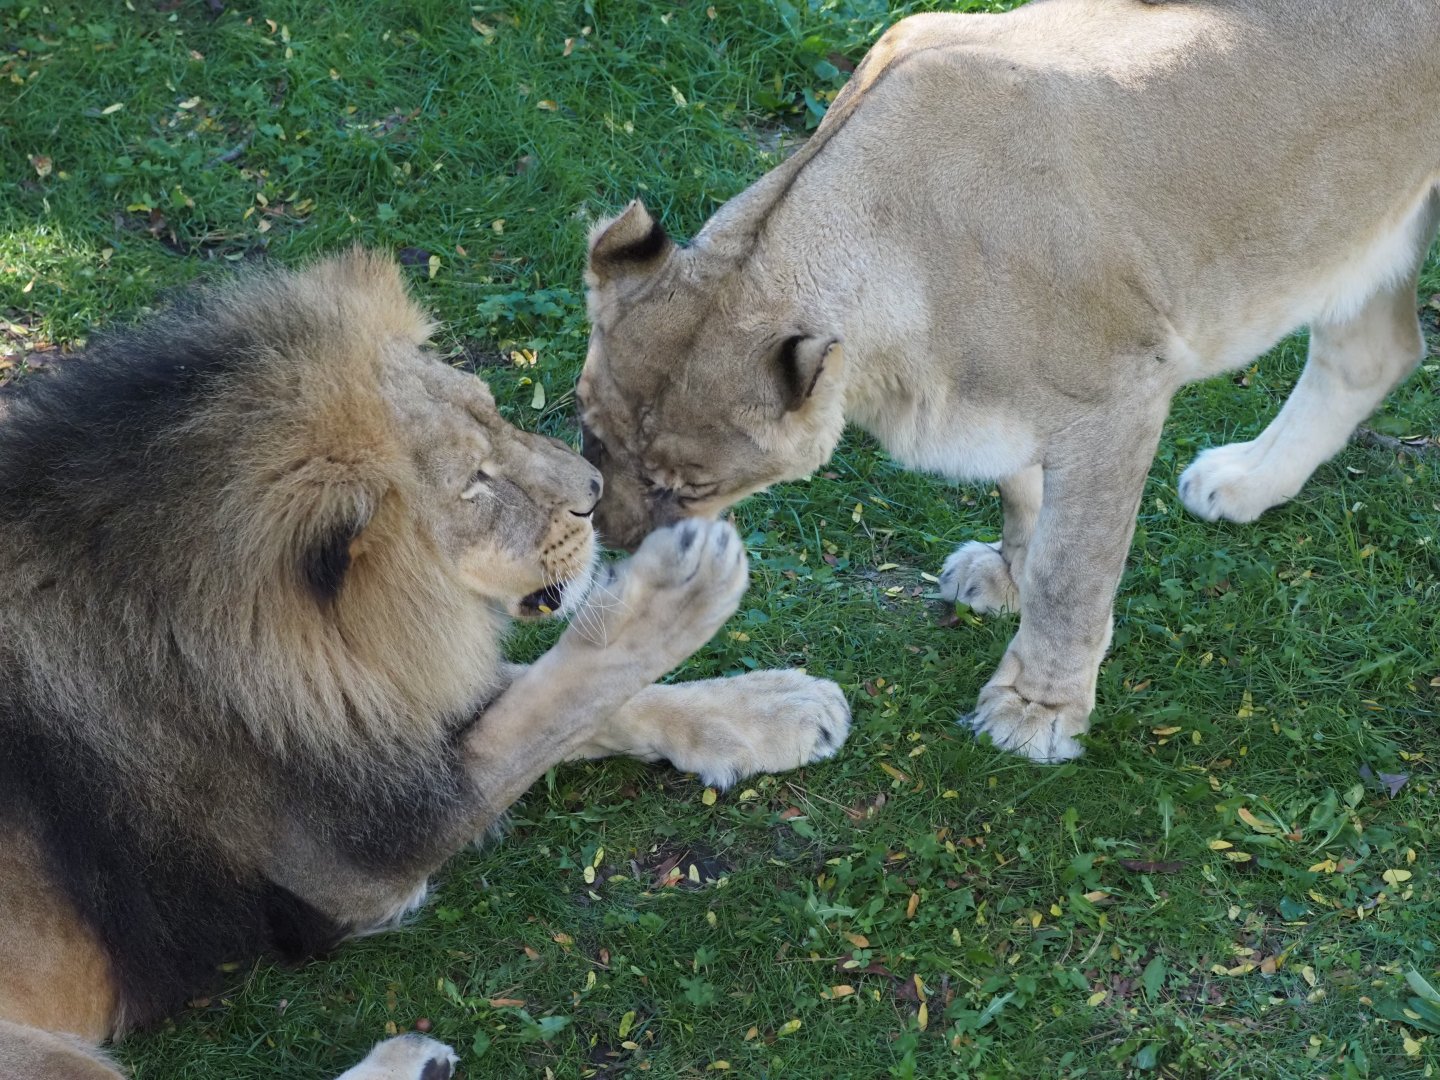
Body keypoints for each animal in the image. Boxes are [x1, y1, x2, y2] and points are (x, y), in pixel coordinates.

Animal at [0, 250, 850, 1079]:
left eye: (493, 411)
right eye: (474, 482)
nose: (594, 490)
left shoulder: (376, 711)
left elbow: (558, 703)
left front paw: (770, 709)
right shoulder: (358, 862)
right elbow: (552, 706)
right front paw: (680, 592)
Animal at [576, 0, 1440, 763]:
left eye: (690, 488)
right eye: (587, 436)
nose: (611, 544)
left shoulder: (1119, 398)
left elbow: (1072, 572)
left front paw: (1037, 710)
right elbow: (1023, 495)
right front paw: (1008, 575)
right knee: (1375, 350)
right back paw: (1248, 482)